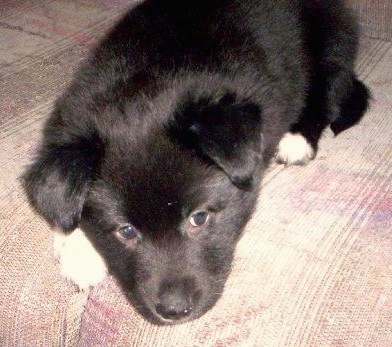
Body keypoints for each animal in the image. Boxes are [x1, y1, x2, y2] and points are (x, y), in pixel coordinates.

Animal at [23, 0, 368, 326]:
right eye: (126, 231)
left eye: (199, 218)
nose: (174, 311)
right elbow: (61, 202)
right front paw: (76, 248)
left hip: (333, 42)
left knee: (330, 90)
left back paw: (297, 138)